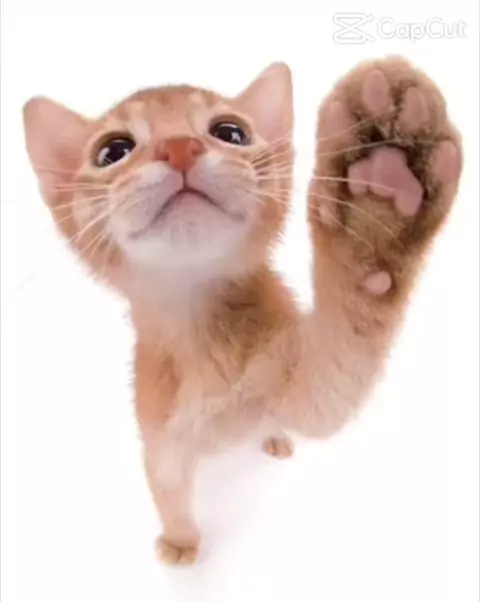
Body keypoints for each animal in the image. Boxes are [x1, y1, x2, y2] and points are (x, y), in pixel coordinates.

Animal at [23, 56, 462, 565]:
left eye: (231, 132)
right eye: (112, 151)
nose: (179, 147)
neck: (205, 339)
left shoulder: (305, 391)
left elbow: (342, 358)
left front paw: (378, 202)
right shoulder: (160, 434)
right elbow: (165, 487)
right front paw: (181, 542)